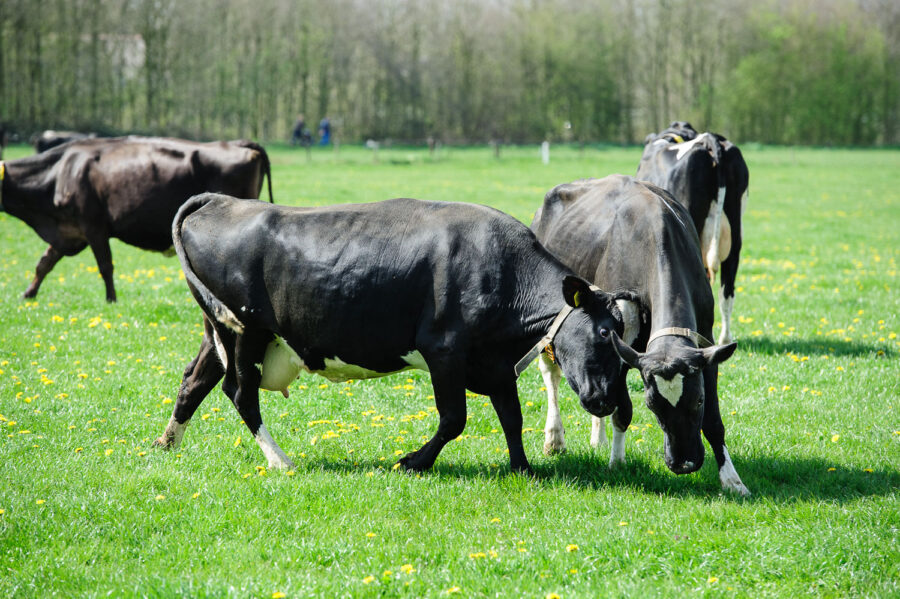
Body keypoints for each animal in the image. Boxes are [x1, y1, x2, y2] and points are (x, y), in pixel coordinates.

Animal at [0, 138, 274, 302]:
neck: (61, 171)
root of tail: (238, 143)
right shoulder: (69, 231)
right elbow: (44, 263)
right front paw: (28, 294)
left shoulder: (94, 226)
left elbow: (105, 266)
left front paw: (111, 299)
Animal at [155, 195, 628, 476]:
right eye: (604, 333)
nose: (608, 401)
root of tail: (222, 200)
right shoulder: (444, 351)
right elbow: (454, 419)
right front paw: (414, 461)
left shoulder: (494, 364)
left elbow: (512, 418)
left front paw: (523, 468)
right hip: (244, 333)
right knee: (240, 392)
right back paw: (281, 460)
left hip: (220, 332)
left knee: (194, 381)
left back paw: (167, 443)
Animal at [532, 176, 748, 494]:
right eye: (652, 404)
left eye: (697, 400)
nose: (683, 463)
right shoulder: (622, 348)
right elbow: (622, 408)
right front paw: (617, 463)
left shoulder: (705, 341)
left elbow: (713, 420)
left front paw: (732, 480)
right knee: (553, 376)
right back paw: (555, 438)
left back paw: (598, 438)